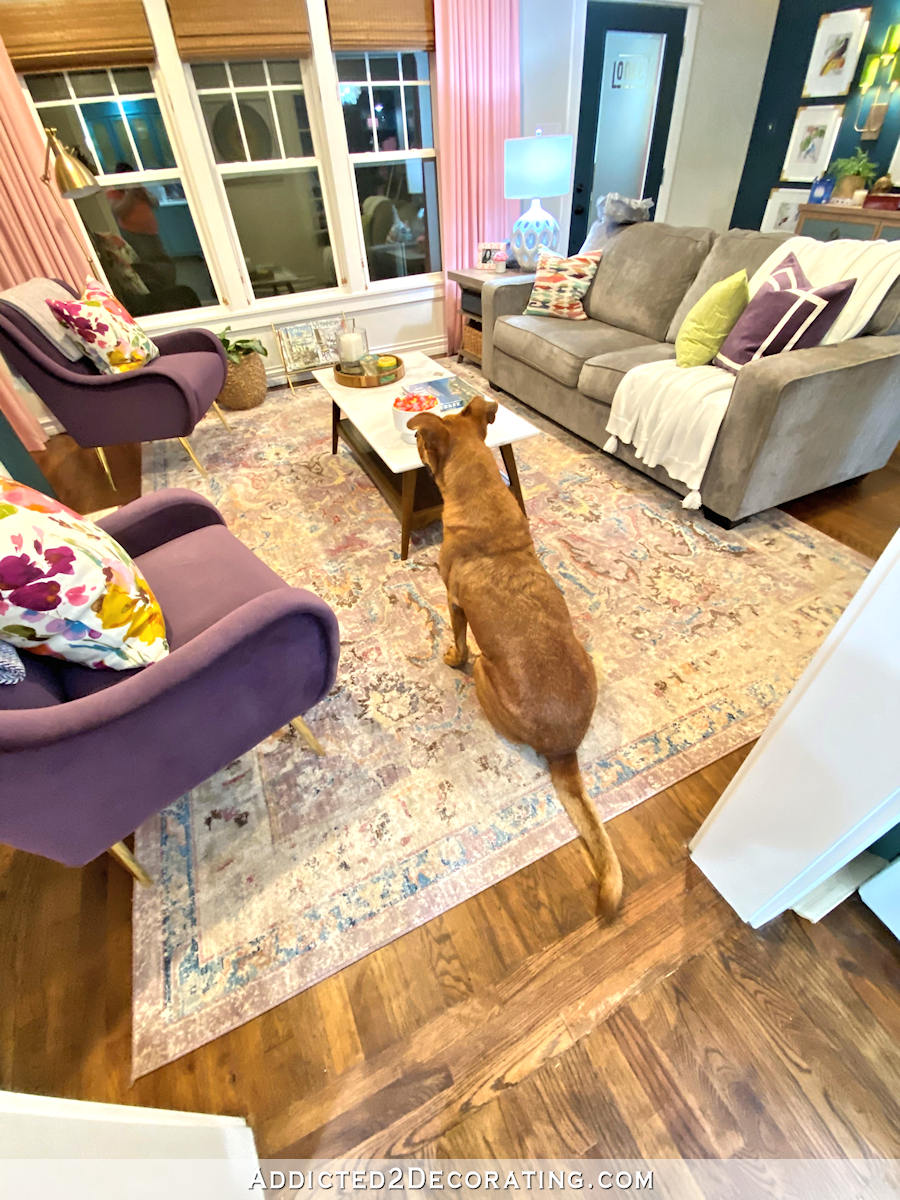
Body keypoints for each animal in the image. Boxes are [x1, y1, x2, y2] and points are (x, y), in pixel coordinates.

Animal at [412, 396, 624, 916]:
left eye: (424, 441)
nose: (412, 439)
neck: (482, 492)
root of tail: (565, 751)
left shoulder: (454, 602)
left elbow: (458, 638)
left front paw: (451, 656)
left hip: (487, 674)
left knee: (479, 674)